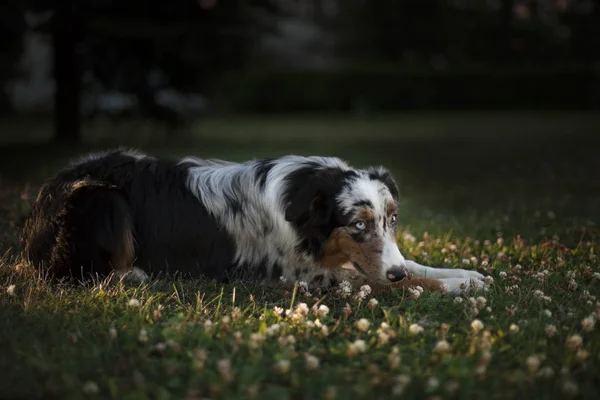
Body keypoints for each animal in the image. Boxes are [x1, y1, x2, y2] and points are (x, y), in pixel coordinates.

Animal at [21, 149, 486, 294]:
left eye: (392, 219)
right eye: (357, 225)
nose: (393, 272)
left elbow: (414, 266)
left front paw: (468, 274)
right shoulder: (301, 275)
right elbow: (401, 282)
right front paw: (456, 287)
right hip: (104, 197)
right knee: (77, 273)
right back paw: (131, 275)